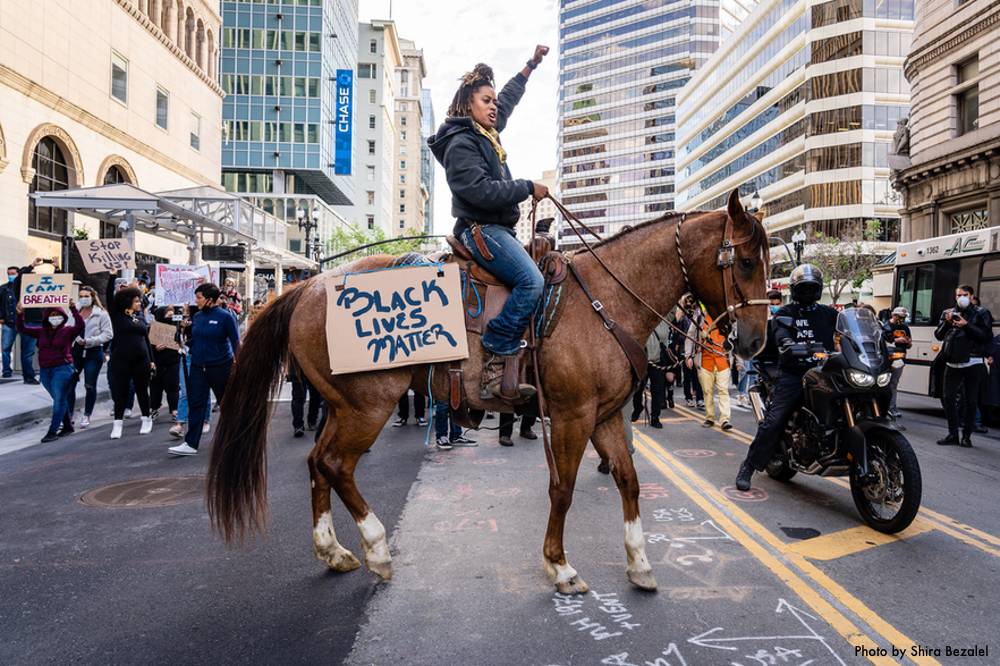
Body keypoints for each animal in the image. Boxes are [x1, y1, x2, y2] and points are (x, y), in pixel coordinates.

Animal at [201, 189, 764, 592]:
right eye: (745, 262)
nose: (755, 342)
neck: (605, 299)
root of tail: (308, 285)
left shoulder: (605, 414)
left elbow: (629, 481)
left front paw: (640, 562)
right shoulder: (573, 414)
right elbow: (562, 488)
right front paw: (559, 567)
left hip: (343, 406)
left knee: (319, 463)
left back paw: (333, 552)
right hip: (369, 405)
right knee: (337, 465)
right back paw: (377, 550)